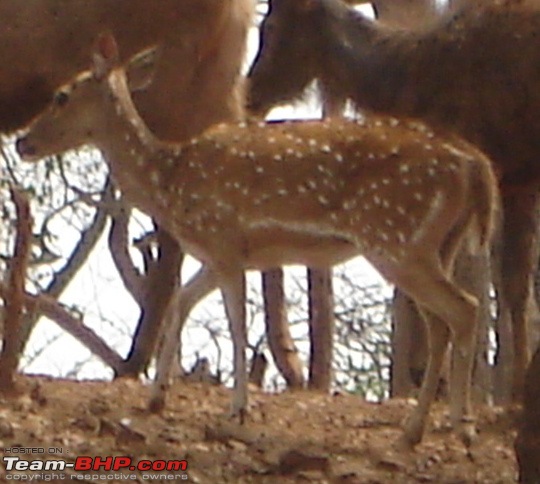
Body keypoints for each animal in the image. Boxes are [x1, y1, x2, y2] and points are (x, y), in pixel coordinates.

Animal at [16, 36, 498, 448]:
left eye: (62, 96)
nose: (23, 142)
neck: (170, 185)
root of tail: (475, 165)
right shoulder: (223, 254)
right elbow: (181, 302)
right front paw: (157, 396)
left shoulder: (224, 240)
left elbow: (236, 325)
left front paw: (238, 410)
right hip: (436, 244)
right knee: (443, 322)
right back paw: (417, 429)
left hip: (396, 238)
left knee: (465, 308)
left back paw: (460, 424)